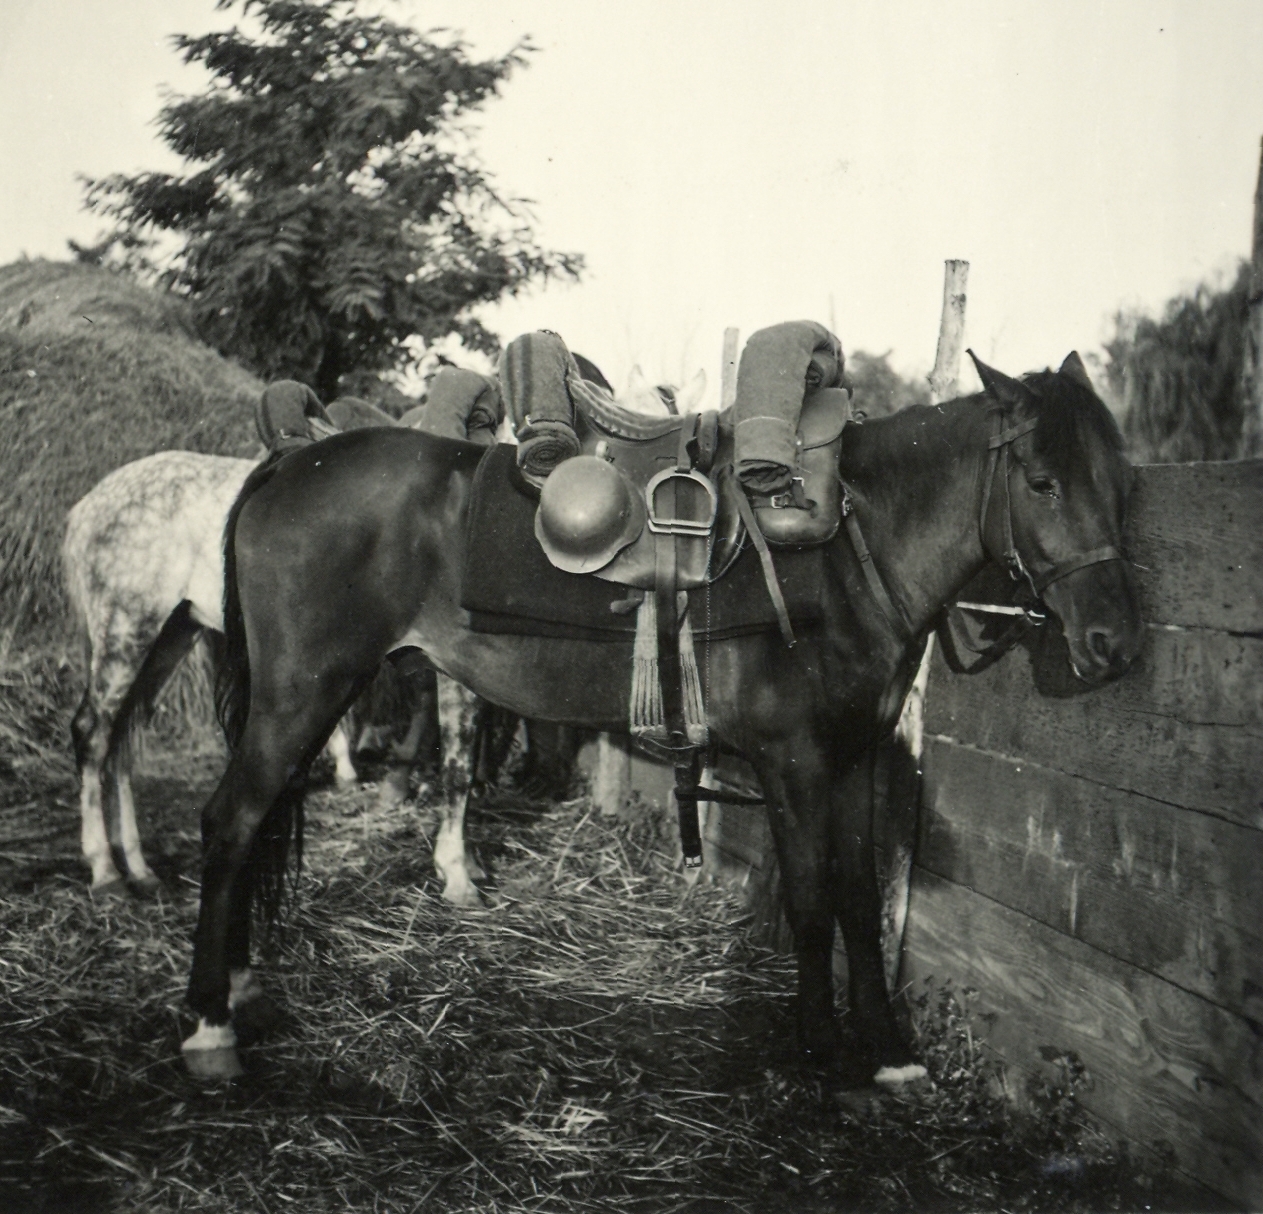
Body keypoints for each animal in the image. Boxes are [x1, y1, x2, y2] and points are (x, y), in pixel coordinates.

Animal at [180, 351, 1146, 1081]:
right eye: (1042, 481)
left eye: (1121, 486)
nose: (1114, 643)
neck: (844, 551)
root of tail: (291, 462)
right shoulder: (793, 764)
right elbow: (810, 905)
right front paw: (817, 1049)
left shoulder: (854, 759)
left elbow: (860, 901)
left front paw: (885, 1051)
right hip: (302, 691)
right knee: (231, 821)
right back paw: (207, 1026)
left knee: (253, 822)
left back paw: (239, 986)